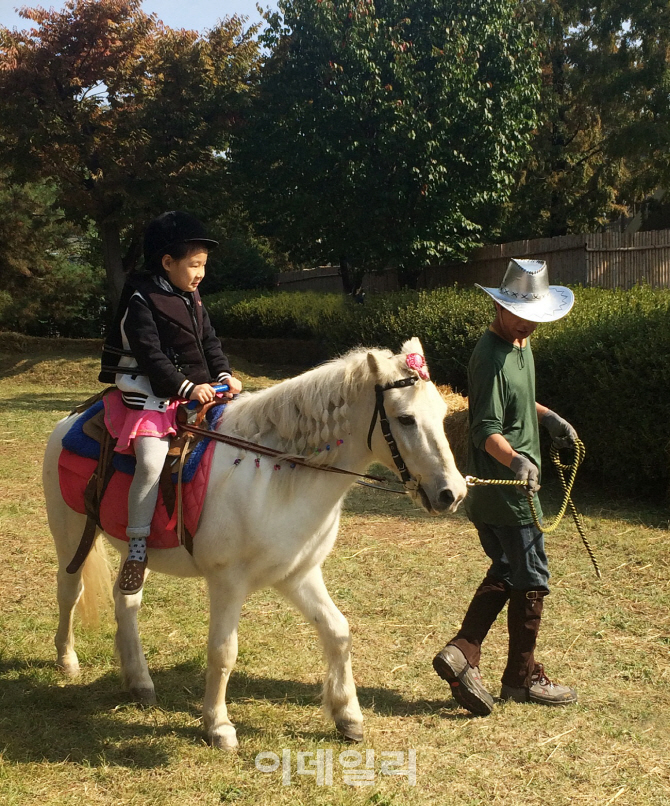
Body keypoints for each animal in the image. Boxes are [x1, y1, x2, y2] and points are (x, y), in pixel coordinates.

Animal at [43, 340, 468, 752]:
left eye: (442, 413)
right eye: (405, 418)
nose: (452, 493)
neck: (273, 476)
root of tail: (74, 417)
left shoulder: (298, 575)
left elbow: (337, 631)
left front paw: (348, 716)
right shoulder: (227, 583)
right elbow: (222, 651)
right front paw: (218, 726)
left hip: (137, 553)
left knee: (126, 601)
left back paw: (139, 681)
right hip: (71, 535)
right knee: (69, 592)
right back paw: (67, 659)